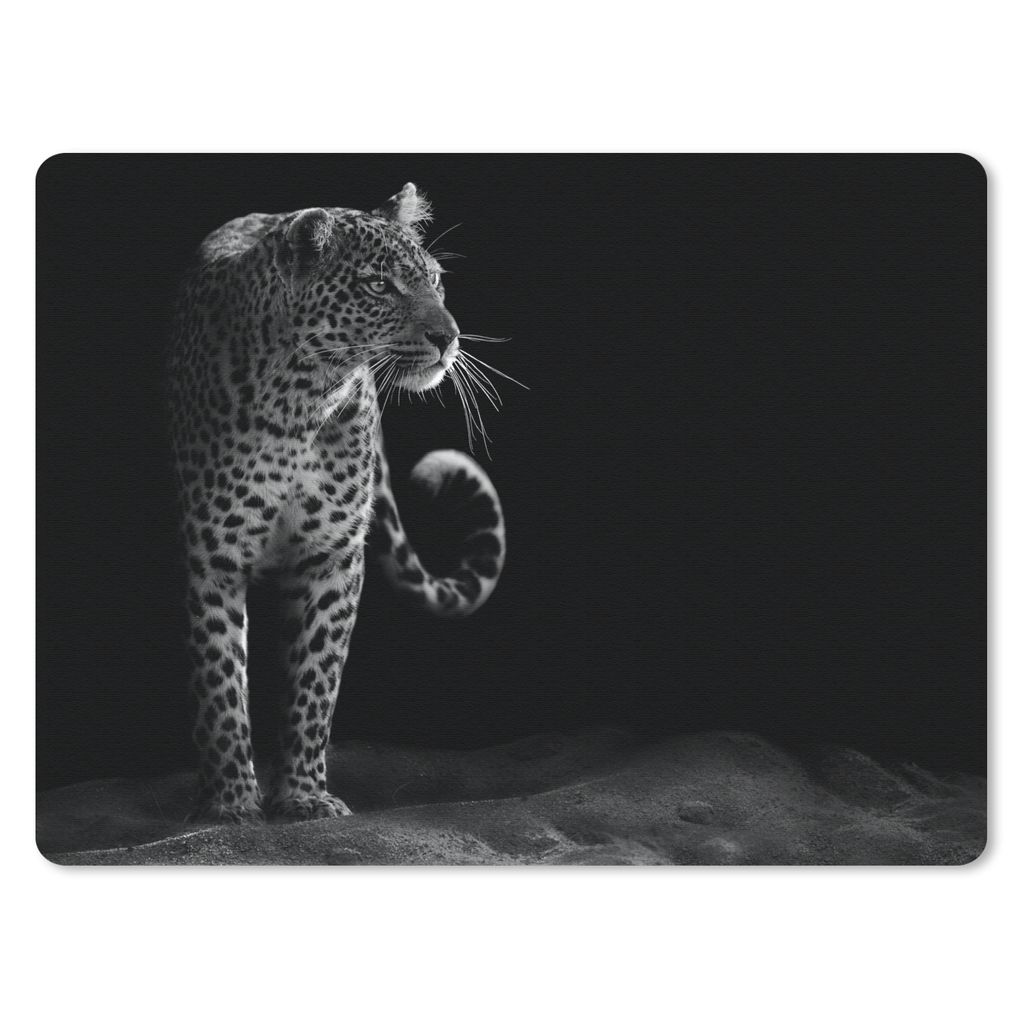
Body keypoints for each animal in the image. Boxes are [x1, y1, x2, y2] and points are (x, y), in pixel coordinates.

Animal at [168, 183, 506, 822]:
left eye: (434, 279)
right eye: (378, 285)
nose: (448, 337)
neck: (301, 398)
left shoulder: (332, 556)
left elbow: (315, 680)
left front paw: (303, 795)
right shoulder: (212, 553)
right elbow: (219, 679)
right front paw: (230, 801)